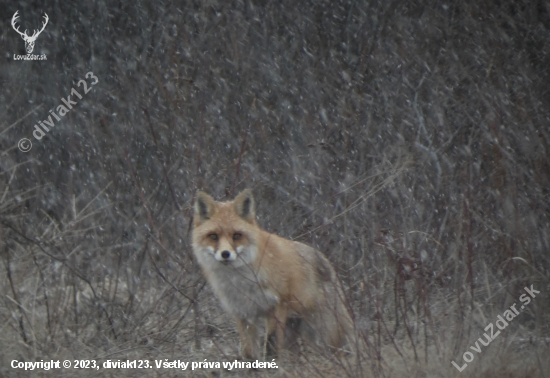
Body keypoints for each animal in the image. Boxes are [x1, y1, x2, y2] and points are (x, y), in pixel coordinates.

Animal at [194, 190, 356, 358]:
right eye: (213, 236)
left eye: (237, 235)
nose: (225, 254)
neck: (241, 281)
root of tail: (326, 260)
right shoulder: (242, 312)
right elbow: (248, 352)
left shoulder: (276, 306)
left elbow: (271, 347)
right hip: (295, 331)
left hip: (322, 332)